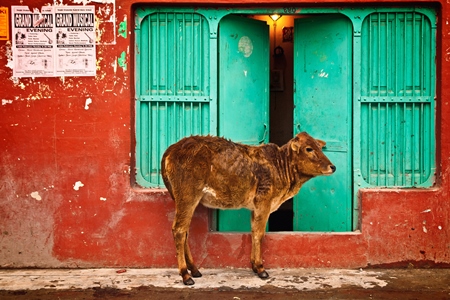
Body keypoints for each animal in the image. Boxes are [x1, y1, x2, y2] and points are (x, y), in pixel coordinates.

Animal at [161, 132, 334, 284]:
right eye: (309, 148)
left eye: (319, 146)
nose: (333, 167)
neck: (280, 167)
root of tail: (172, 148)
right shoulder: (264, 201)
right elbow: (259, 234)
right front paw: (261, 268)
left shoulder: (255, 207)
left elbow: (253, 232)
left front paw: (254, 266)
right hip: (188, 196)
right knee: (179, 230)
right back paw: (185, 275)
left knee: (185, 231)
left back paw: (195, 270)